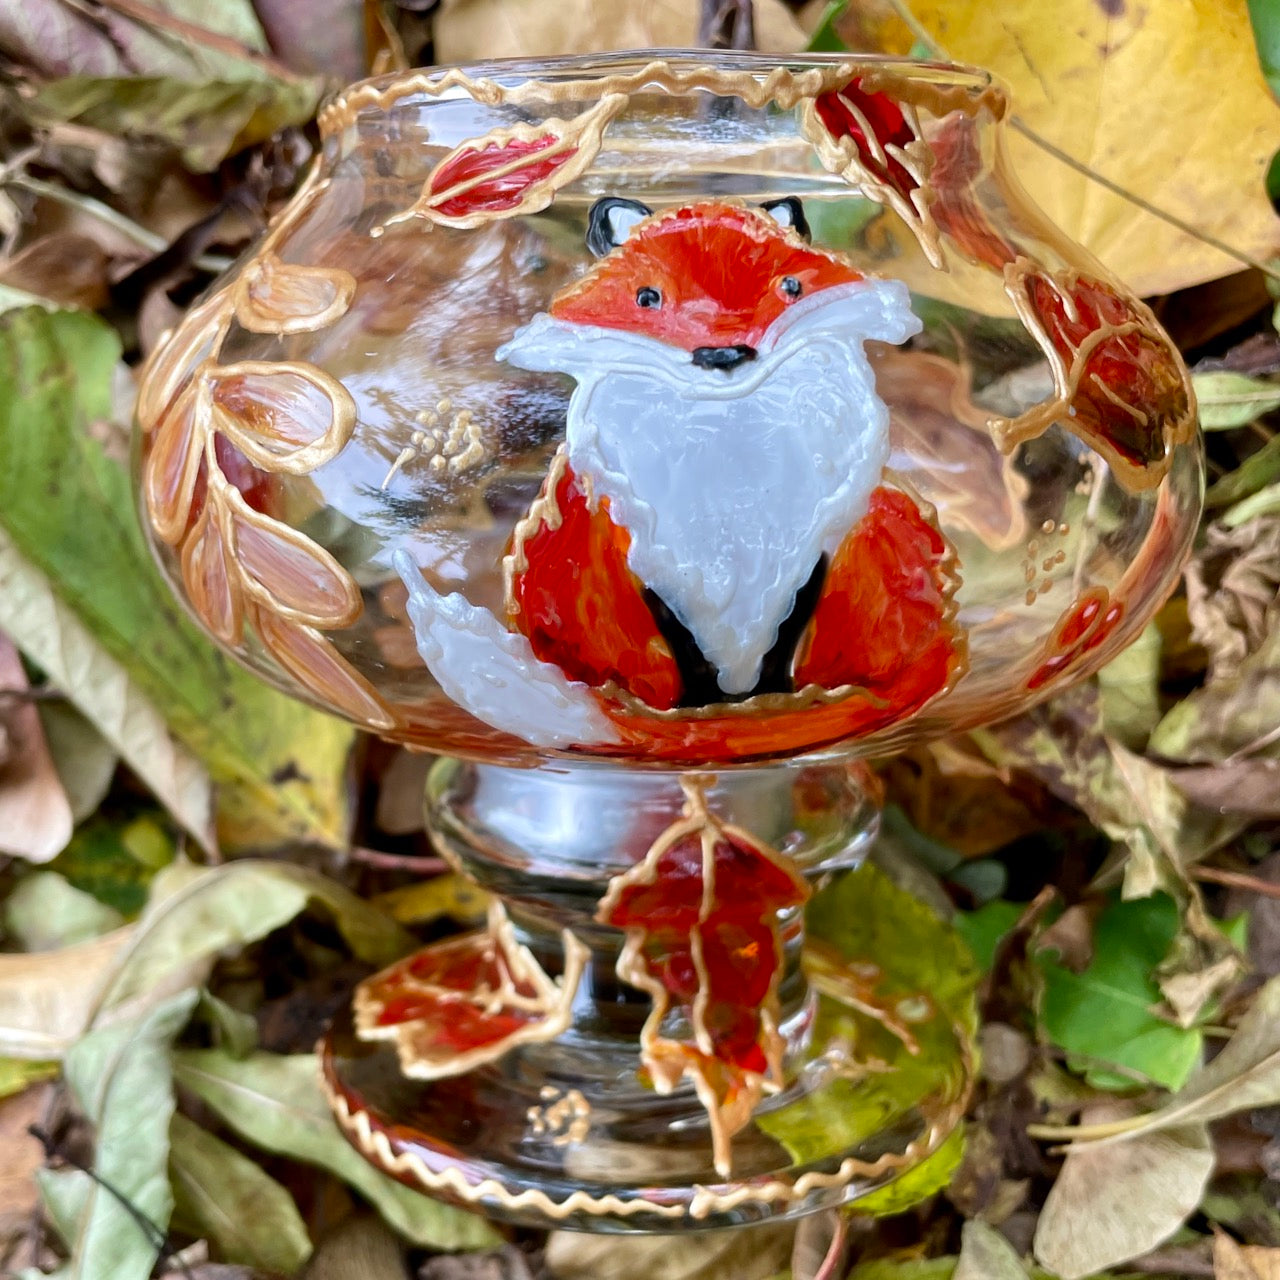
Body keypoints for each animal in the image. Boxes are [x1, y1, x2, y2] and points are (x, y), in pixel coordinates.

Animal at [397, 196, 963, 754]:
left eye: (791, 288)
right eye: (648, 298)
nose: (724, 353)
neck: (731, 460)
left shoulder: (813, 553)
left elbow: (780, 649)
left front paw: (760, 704)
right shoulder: (648, 560)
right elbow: (690, 659)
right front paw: (705, 713)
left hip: (889, 513)